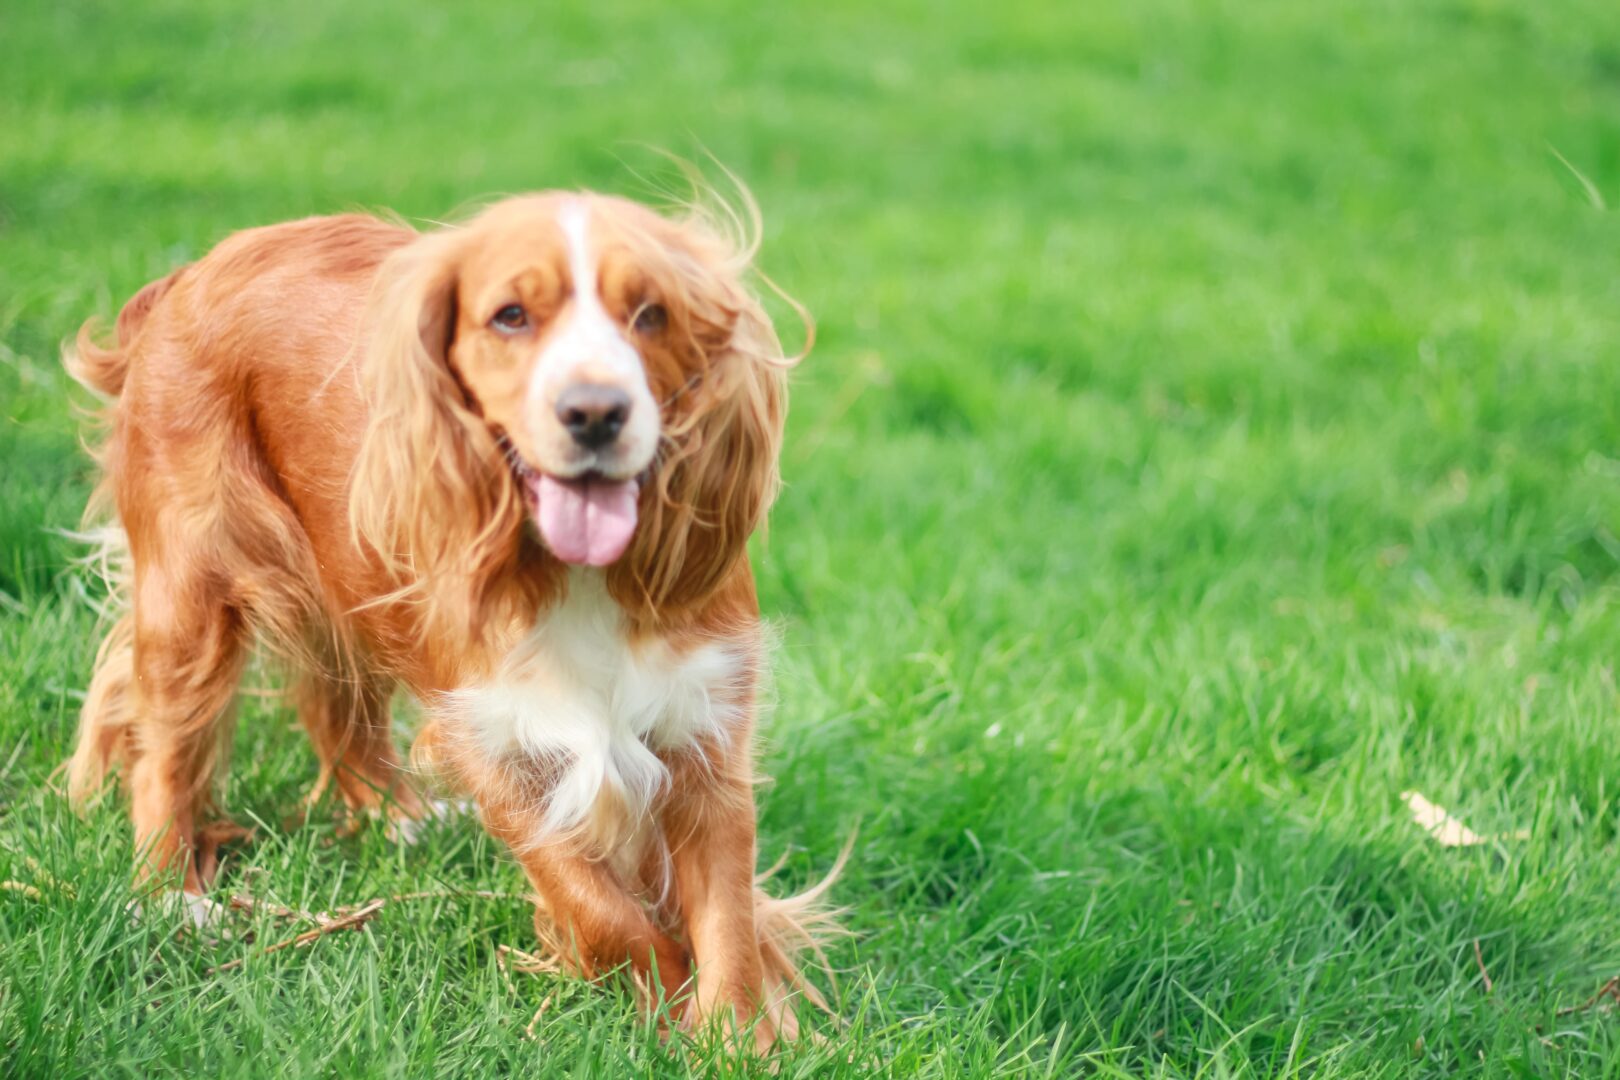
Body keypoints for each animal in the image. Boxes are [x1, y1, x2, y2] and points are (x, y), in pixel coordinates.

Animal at [63, 187, 835, 1049]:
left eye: (651, 314)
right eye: (510, 316)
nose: (595, 412)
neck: (576, 575)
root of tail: (188, 274)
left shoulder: (704, 723)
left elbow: (726, 909)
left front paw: (739, 1037)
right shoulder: (497, 740)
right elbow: (598, 904)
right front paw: (668, 1000)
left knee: (340, 703)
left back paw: (400, 818)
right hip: (190, 588)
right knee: (164, 745)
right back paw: (171, 891)